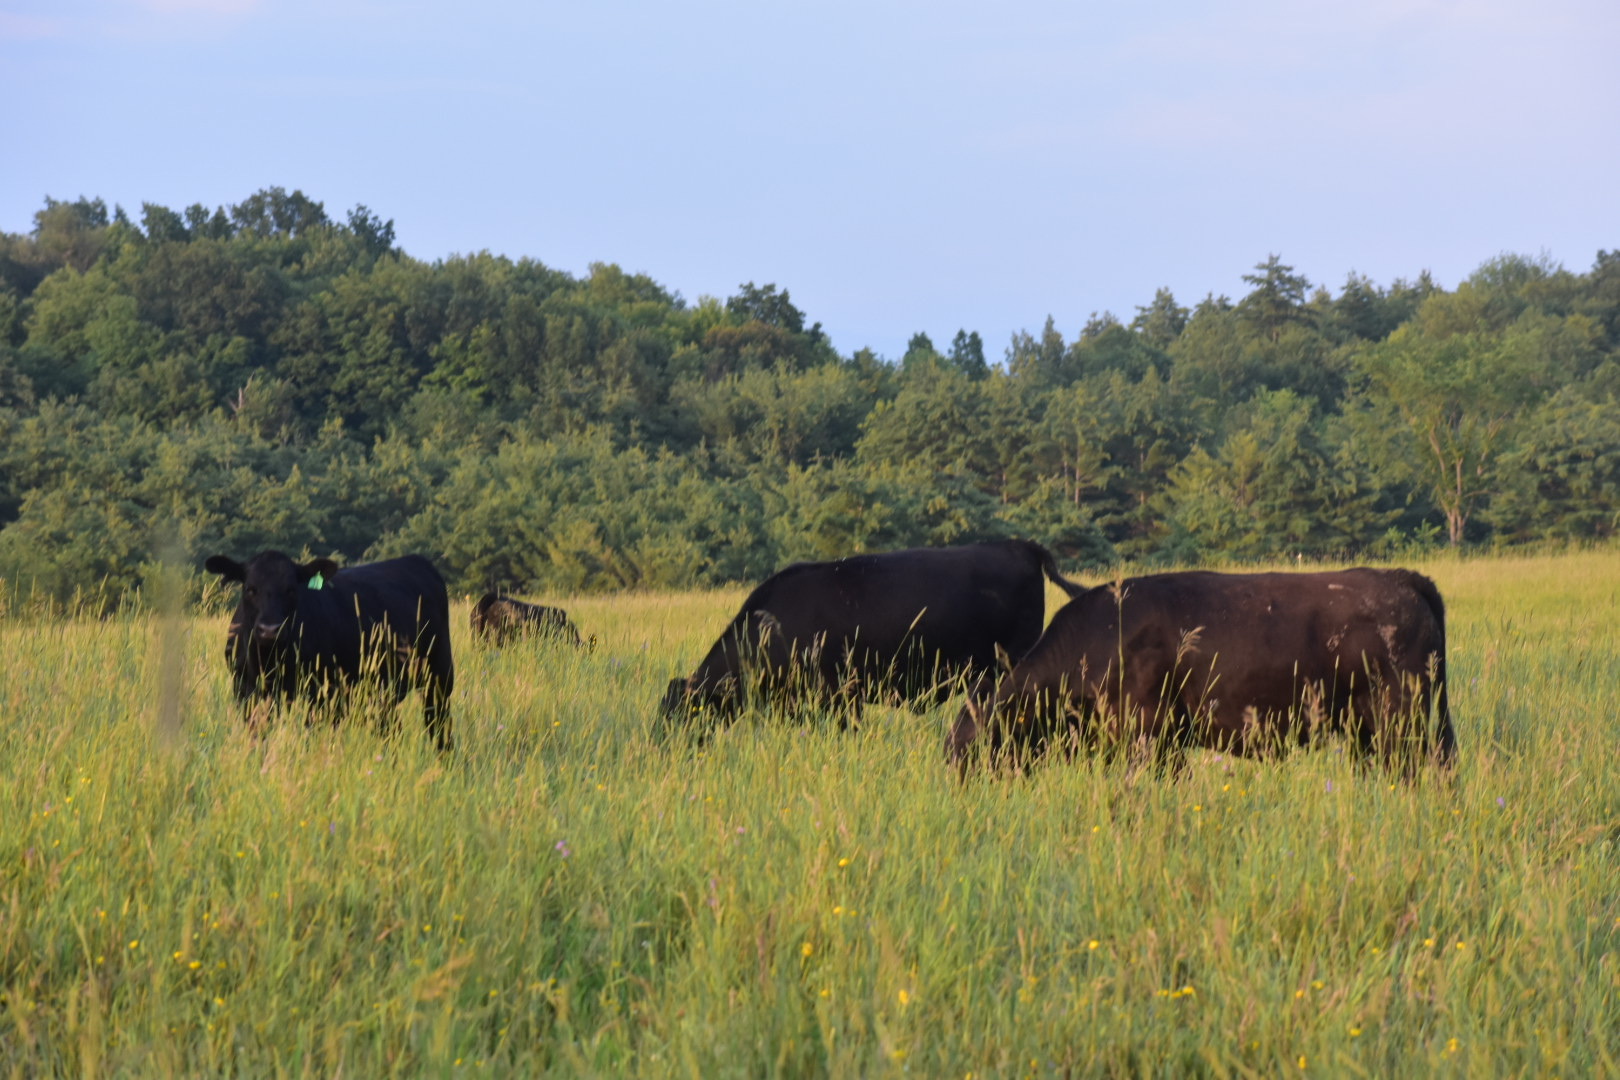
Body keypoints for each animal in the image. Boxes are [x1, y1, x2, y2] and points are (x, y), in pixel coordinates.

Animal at [204, 551, 455, 751]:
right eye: (250, 589)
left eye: (291, 590)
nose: (270, 629)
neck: (269, 661)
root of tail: (416, 560)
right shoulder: (246, 692)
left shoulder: (323, 693)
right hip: (381, 692)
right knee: (390, 730)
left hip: (439, 677)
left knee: (439, 729)